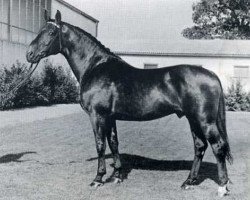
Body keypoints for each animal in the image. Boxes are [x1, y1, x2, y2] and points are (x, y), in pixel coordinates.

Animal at [26, 10, 232, 196]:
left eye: (51, 33)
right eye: (41, 30)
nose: (29, 54)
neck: (95, 66)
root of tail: (212, 75)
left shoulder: (97, 115)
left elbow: (100, 144)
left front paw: (98, 178)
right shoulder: (110, 117)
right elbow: (114, 143)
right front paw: (117, 175)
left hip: (205, 121)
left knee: (217, 146)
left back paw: (222, 187)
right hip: (193, 119)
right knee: (200, 146)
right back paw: (189, 182)